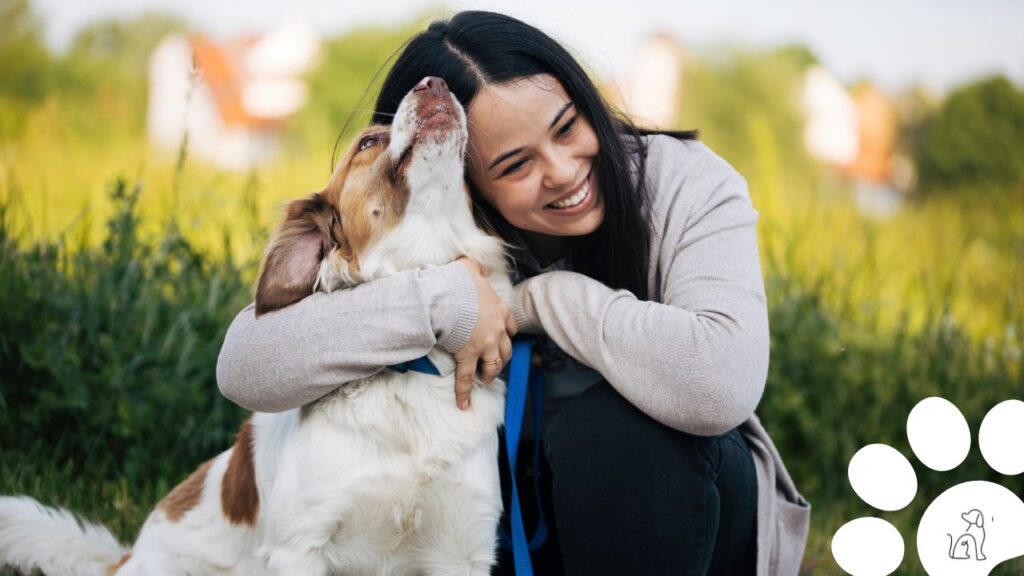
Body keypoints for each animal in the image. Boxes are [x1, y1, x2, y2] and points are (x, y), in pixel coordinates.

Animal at [0, 76, 512, 573]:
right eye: (368, 142)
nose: (436, 83)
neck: (411, 369)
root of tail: (123, 559)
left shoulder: (461, 550)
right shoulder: (300, 547)